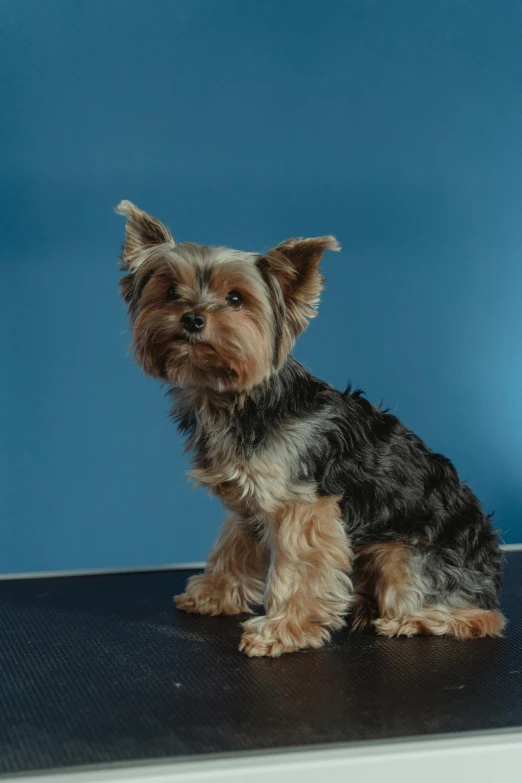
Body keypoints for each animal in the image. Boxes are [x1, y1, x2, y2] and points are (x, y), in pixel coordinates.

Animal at [116, 201, 502, 656]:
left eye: (235, 299)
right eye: (171, 292)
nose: (192, 318)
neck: (238, 400)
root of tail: (490, 568)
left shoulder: (302, 506)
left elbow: (297, 570)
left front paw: (282, 629)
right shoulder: (251, 500)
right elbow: (233, 545)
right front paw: (213, 593)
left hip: (400, 555)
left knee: (482, 617)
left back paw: (411, 621)